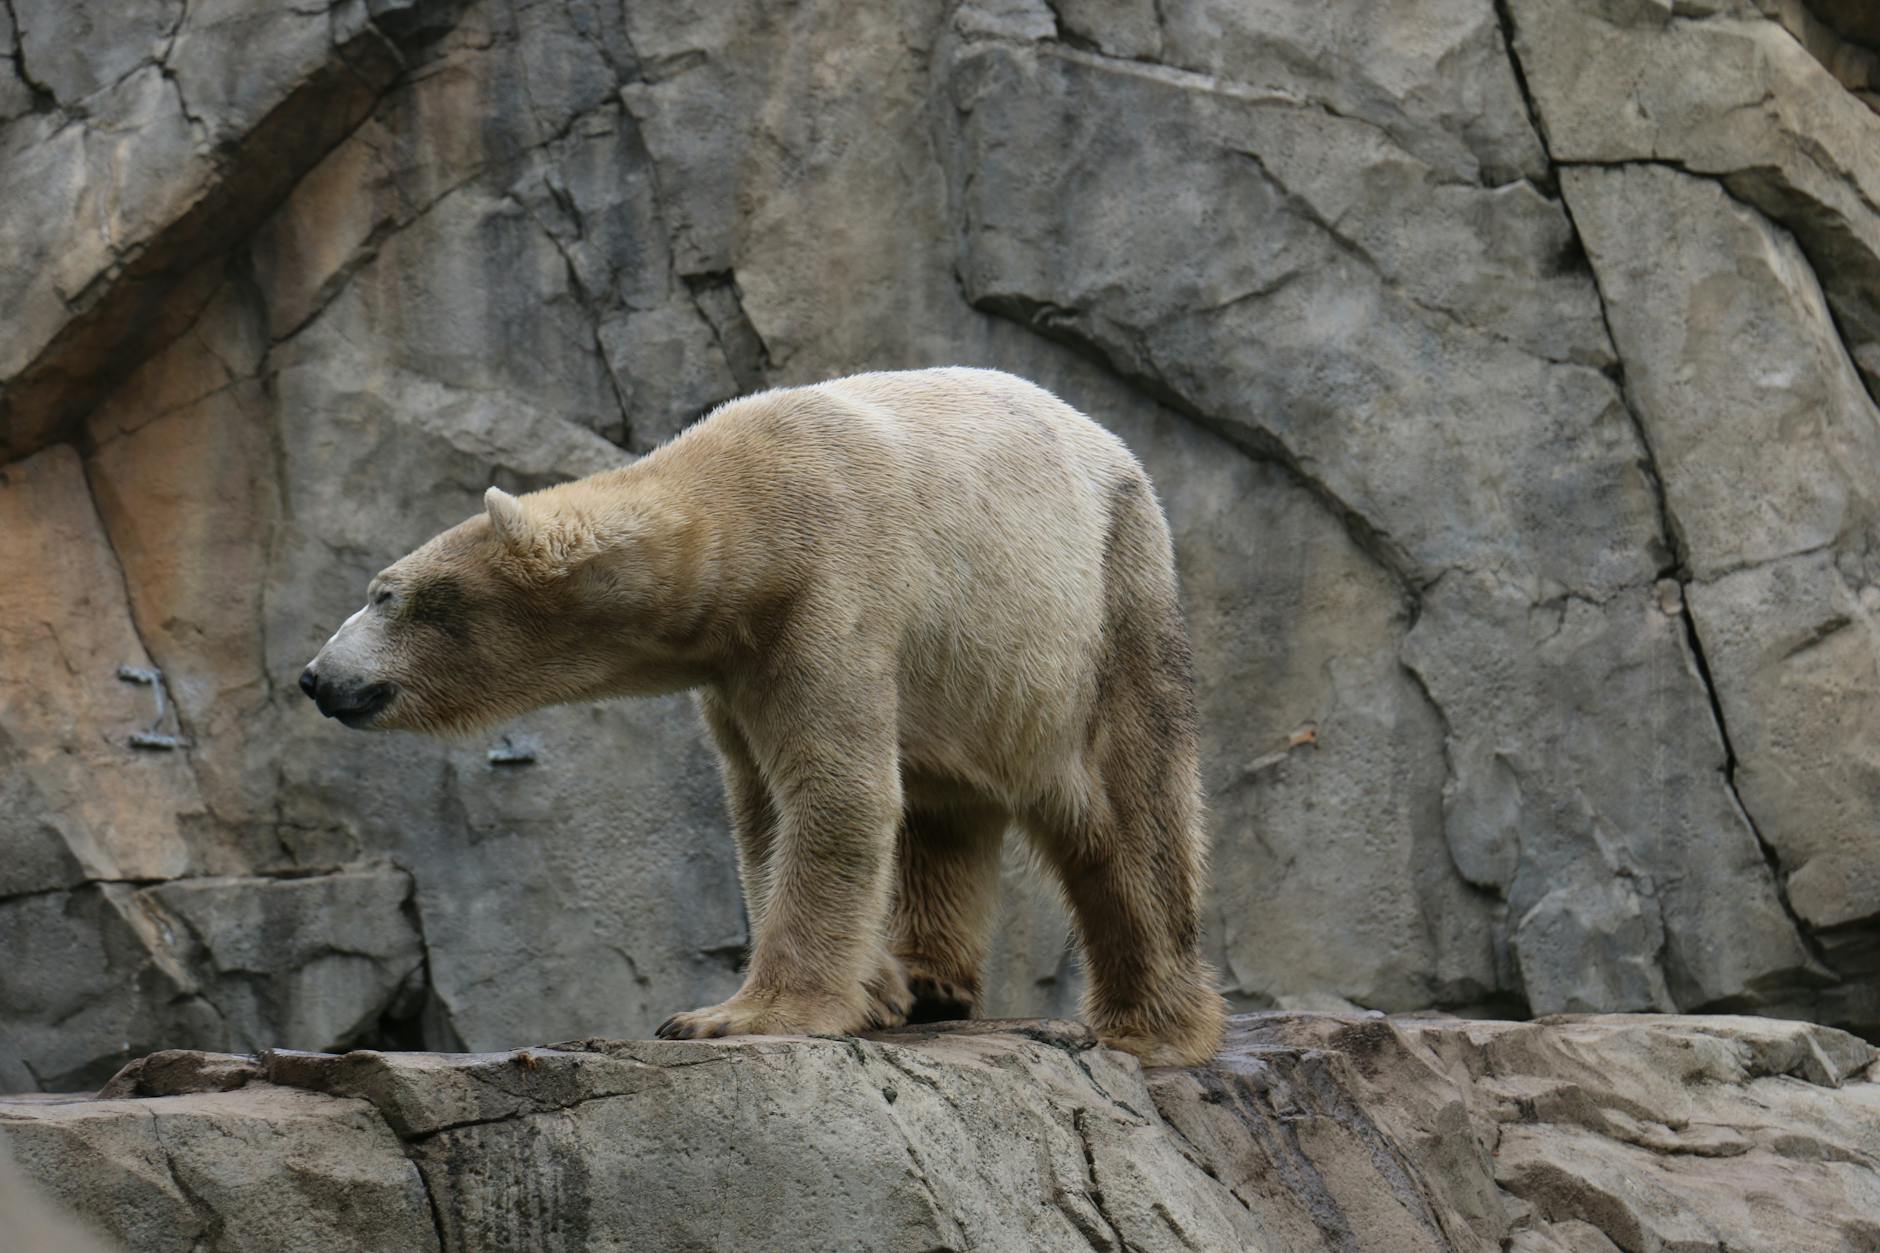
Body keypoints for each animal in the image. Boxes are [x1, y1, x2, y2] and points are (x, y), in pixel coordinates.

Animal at [301, 367, 1228, 1066]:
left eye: (385, 594)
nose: (315, 677)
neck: (744, 509)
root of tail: (1117, 451)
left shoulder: (834, 590)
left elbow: (834, 792)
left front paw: (730, 1015)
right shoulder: (734, 666)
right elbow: (765, 808)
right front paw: (875, 990)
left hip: (1108, 595)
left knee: (1130, 810)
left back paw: (1148, 1025)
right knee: (942, 812)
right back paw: (928, 980)